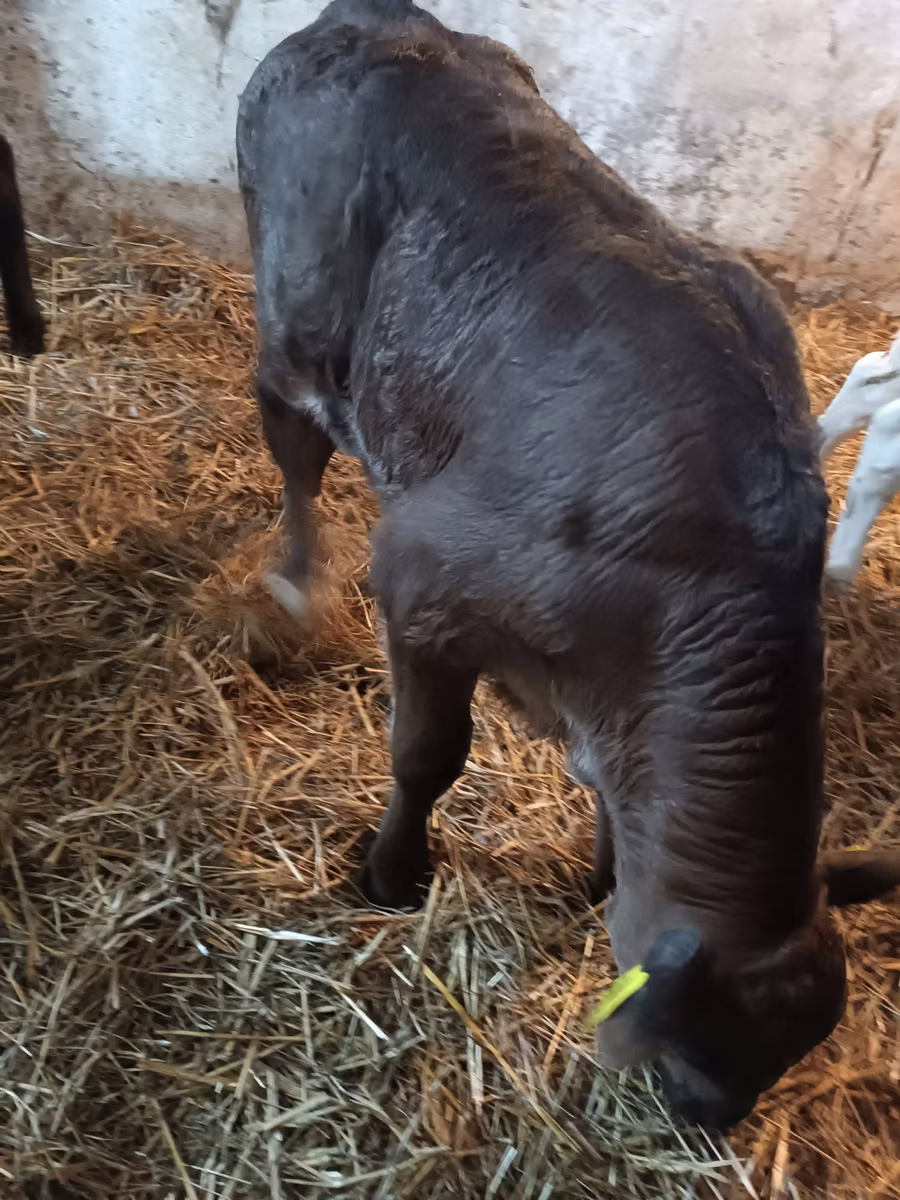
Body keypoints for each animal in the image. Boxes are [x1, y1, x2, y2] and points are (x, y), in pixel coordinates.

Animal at [237, 0, 900, 1129]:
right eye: (694, 1055)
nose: (712, 1123)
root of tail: (375, 18)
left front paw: (597, 874)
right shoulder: (421, 573)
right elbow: (428, 754)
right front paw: (392, 872)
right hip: (297, 336)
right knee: (294, 449)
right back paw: (294, 585)